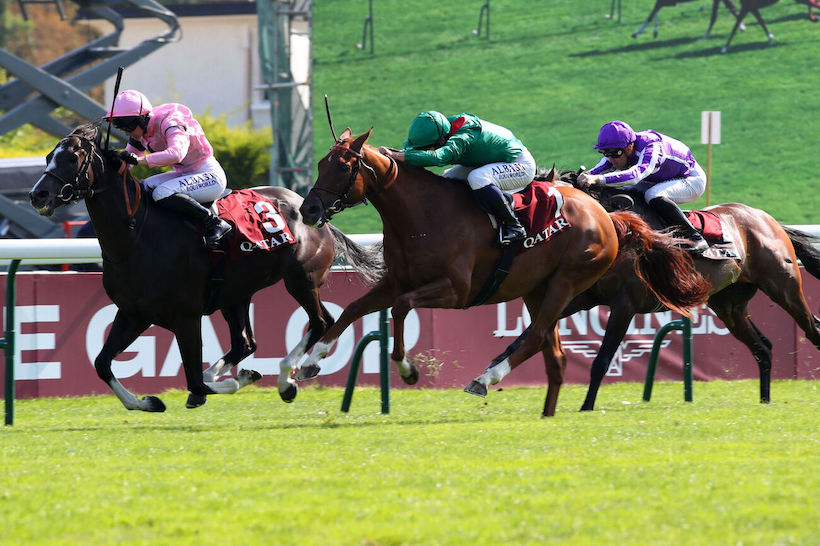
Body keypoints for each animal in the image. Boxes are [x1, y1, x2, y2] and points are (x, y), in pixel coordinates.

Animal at [27, 123, 382, 410]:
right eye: (48, 156)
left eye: (71, 158)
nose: (37, 194)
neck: (135, 235)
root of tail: (313, 212)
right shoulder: (133, 313)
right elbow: (102, 364)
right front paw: (147, 402)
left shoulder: (186, 315)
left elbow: (194, 379)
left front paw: (234, 381)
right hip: (235, 295)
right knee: (245, 342)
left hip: (301, 280)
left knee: (322, 322)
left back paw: (285, 379)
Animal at [290, 129, 712, 416]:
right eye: (321, 163)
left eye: (343, 165)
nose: (307, 210)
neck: (422, 214)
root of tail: (606, 216)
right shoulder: (396, 280)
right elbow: (352, 309)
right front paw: (310, 362)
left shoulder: (454, 291)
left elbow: (400, 308)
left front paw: (408, 369)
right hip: (536, 290)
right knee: (552, 351)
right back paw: (544, 411)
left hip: (566, 282)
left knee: (537, 336)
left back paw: (484, 379)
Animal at [556, 176, 820, 410]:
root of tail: (767, 218)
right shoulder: (582, 297)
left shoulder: (625, 305)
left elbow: (602, 359)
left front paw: (586, 406)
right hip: (729, 306)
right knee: (762, 348)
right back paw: (765, 399)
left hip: (784, 287)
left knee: (812, 329)